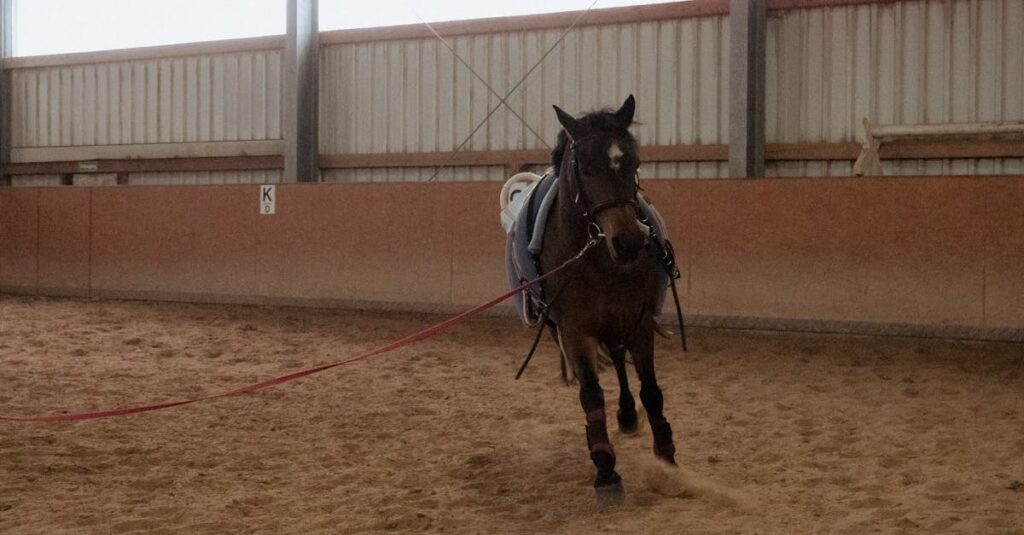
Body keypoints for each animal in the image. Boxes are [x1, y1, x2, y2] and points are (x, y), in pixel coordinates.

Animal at [525, 95, 678, 504]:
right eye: (585, 169)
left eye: (634, 164)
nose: (628, 243)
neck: (598, 260)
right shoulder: (575, 331)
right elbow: (591, 396)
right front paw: (606, 470)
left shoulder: (638, 323)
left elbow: (651, 391)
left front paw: (667, 456)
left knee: (622, 361)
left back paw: (626, 415)